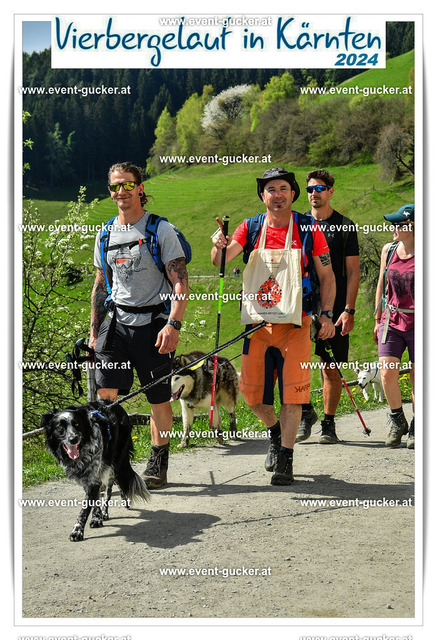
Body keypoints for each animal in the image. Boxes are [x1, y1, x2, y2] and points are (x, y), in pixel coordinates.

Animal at [41, 399, 150, 542]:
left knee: (111, 488)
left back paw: (114, 505)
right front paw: (96, 517)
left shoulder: (95, 476)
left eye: (77, 424)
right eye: (60, 428)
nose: (73, 439)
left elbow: (84, 509)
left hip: (115, 462)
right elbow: (94, 499)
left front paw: (77, 531)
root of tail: (115, 404)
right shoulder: (88, 478)